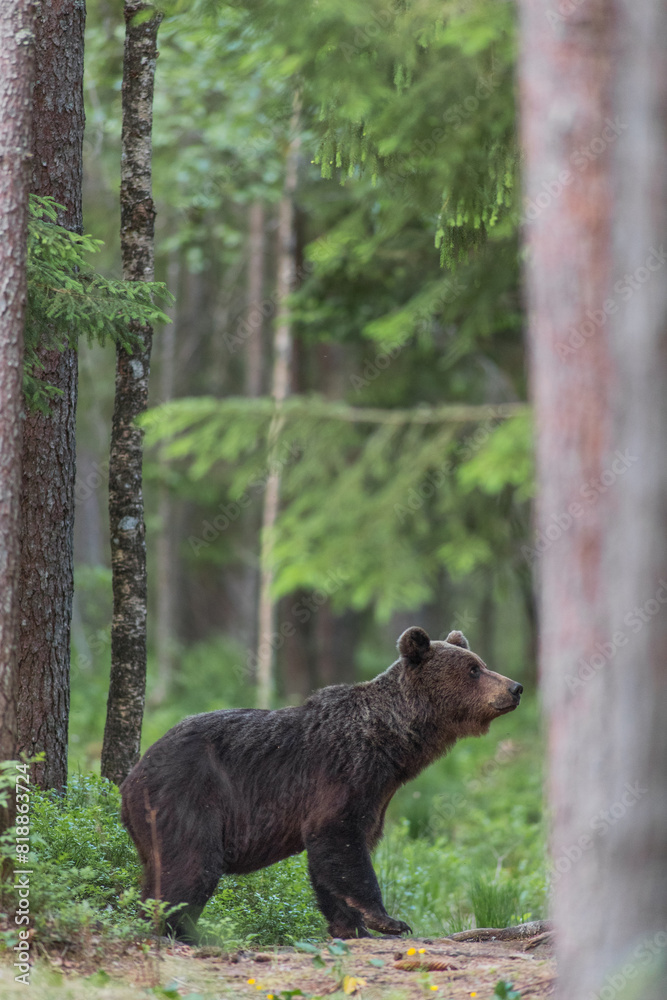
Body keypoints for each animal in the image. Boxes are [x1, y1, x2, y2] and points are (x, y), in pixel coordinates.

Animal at [120, 627, 522, 941]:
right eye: (474, 669)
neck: (392, 746)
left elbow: (335, 858)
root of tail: (129, 779)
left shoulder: (376, 793)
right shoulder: (342, 774)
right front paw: (388, 920)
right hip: (187, 795)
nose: (516, 687)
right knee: (191, 865)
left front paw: (352, 926)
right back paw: (180, 931)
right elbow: (339, 840)